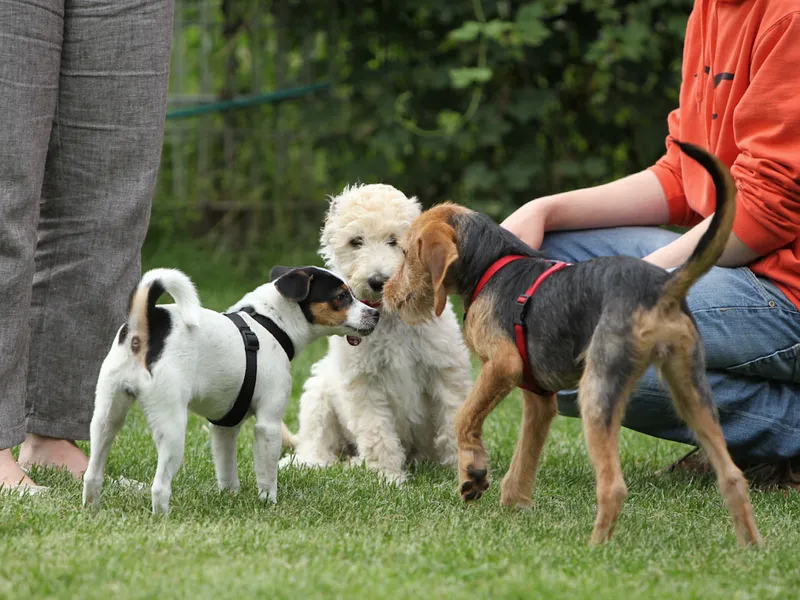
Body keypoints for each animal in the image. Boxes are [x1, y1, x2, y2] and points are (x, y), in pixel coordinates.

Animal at [83, 264, 380, 512]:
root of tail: (147, 324)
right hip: (171, 426)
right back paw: (161, 518)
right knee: (159, 486)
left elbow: (226, 471)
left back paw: (92, 510)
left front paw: (229, 497)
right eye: (342, 296)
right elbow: (267, 474)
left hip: (106, 417)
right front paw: (268, 502)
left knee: (92, 473)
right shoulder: (268, 425)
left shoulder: (224, 426)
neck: (269, 324)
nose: (376, 313)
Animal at [282, 185, 472, 486]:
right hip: (318, 395)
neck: (389, 315)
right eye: (356, 241)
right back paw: (315, 462)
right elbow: (377, 432)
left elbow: (452, 419)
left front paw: (461, 472)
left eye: (395, 241)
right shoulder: (364, 383)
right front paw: (388, 478)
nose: (378, 281)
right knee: (316, 441)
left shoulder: (445, 371)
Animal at [384, 143, 760, 548]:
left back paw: (595, 548)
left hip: (598, 391)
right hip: (691, 392)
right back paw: (750, 548)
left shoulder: (502, 365)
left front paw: (472, 475)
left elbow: (464, 417)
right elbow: (524, 458)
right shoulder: (538, 400)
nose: (384, 292)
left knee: (613, 486)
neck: (492, 265)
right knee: (732, 475)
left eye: (404, 254)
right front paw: (515, 505)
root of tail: (660, 288)